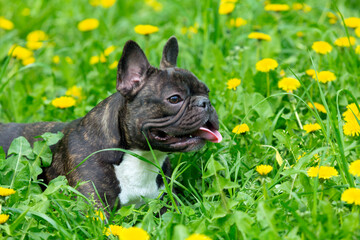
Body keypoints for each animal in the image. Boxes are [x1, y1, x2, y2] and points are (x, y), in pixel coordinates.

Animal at [0, 36, 222, 212]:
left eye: (207, 91)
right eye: (174, 99)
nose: (206, 103)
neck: (140, 156)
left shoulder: (165, 203)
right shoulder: (95, 208)